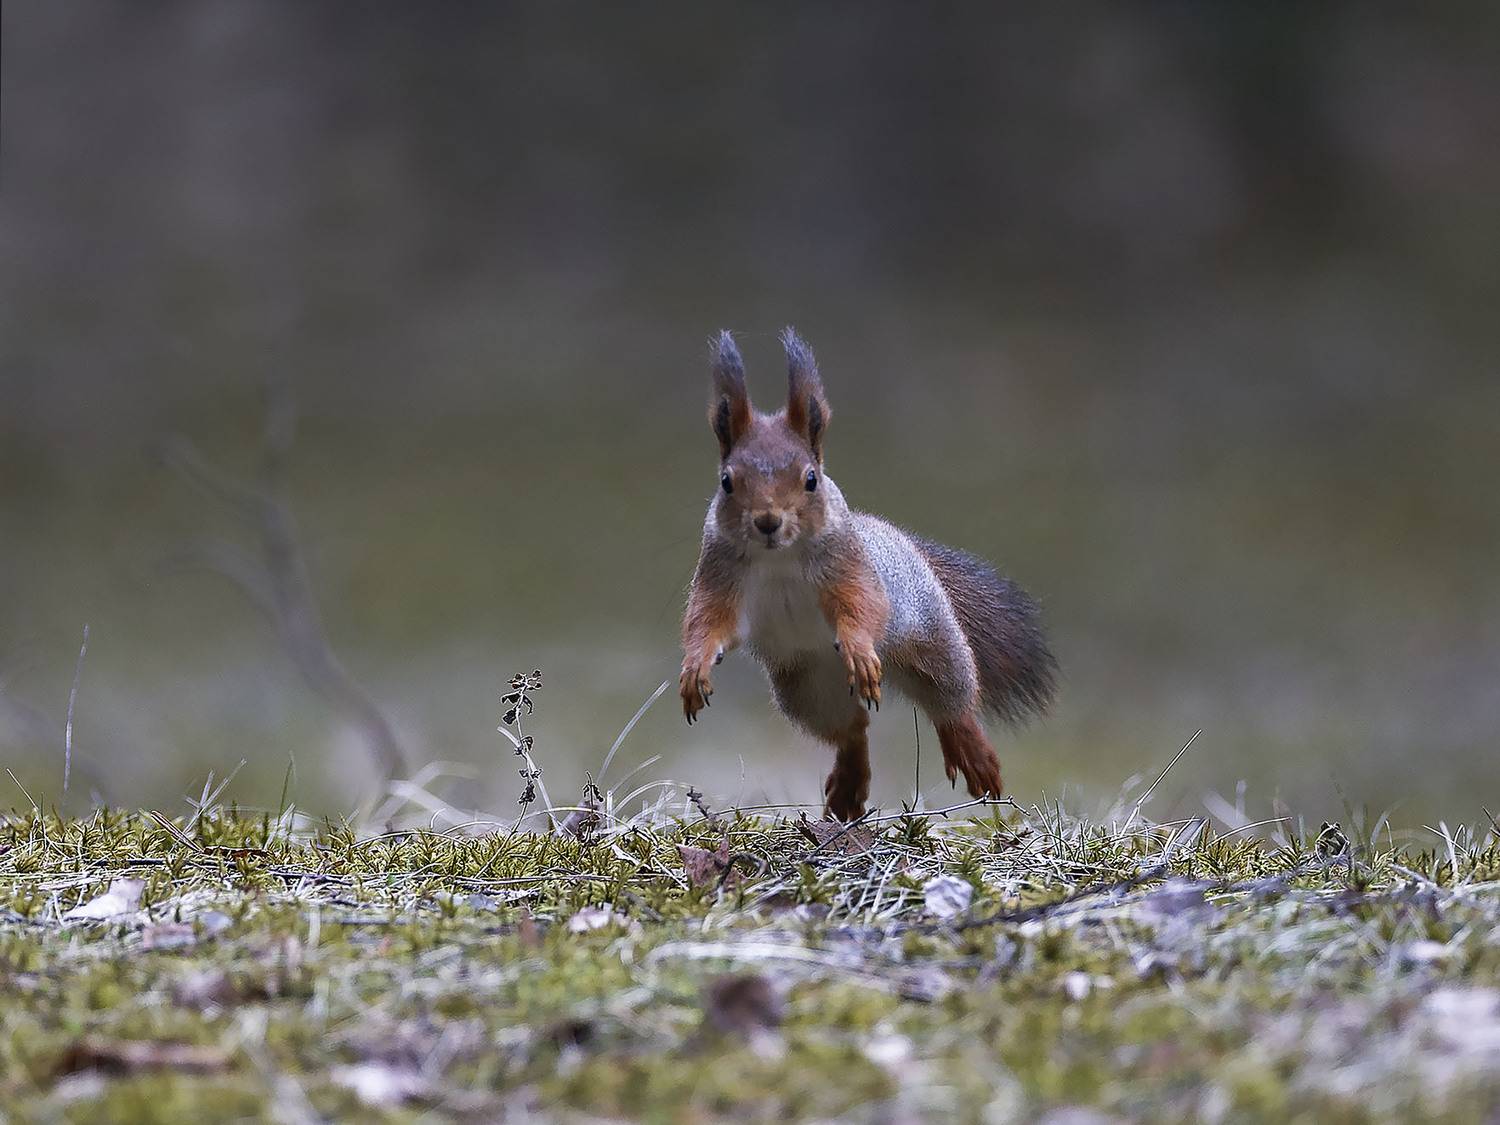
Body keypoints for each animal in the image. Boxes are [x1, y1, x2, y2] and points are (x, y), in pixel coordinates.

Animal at [680, 328, 1058, 820]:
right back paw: (848, 785)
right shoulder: (720, 575)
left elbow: (862, 606)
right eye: (727, 481)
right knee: (853, 728)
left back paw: (973, 753)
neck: (779, 557)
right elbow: (708, 622)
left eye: (810, 479)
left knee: (951, 701)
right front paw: (695, 668)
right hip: (807, 689)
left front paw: (859, 648)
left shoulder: (850, 568)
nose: (767, 522)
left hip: (931, 639)